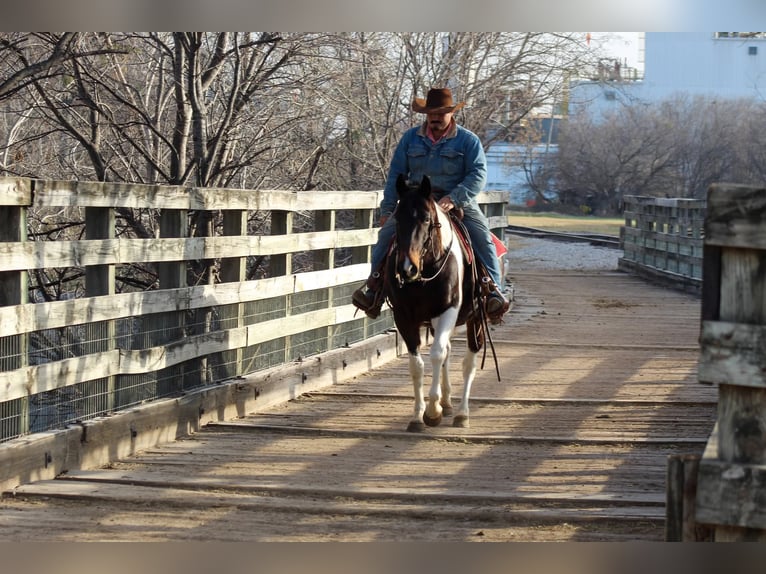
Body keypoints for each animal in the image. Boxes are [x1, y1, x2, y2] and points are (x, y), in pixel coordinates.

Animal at [384, 176, 486, 432]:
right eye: (397, 217)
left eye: (427, 219)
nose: (407, 268)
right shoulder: (403, 317)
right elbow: (417, 365)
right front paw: (417, 416)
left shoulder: (448, 311)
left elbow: (437, 354)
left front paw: (432, 411)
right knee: (449, 352)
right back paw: (447, 403)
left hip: (475, 320)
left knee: (468, 362)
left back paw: (461, 414)